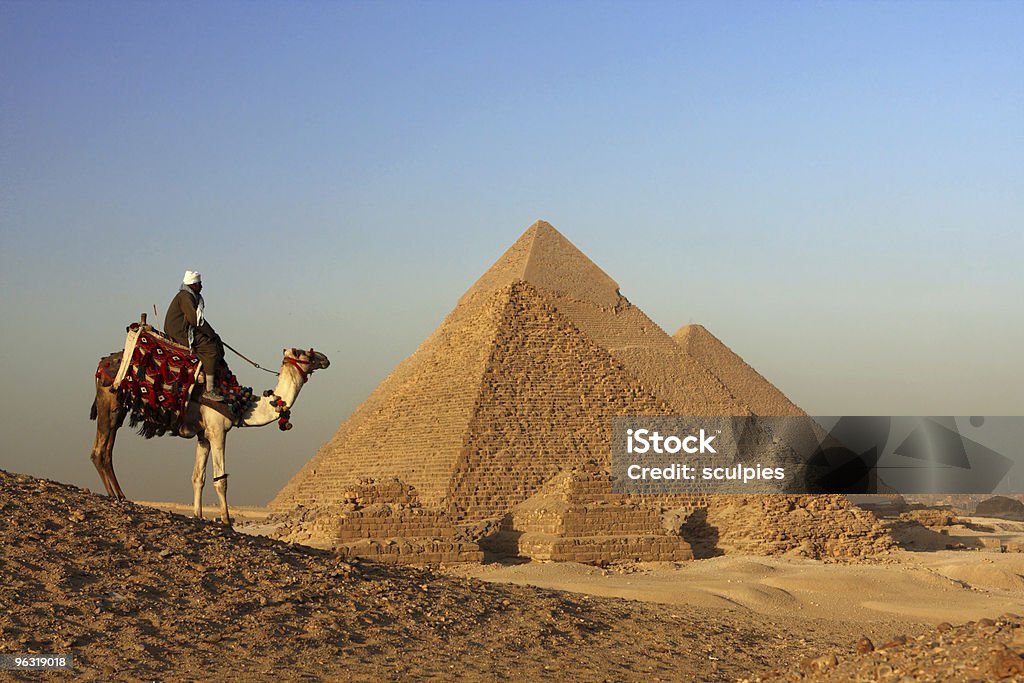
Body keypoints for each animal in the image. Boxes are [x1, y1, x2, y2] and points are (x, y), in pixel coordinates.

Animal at [89, 344, 327, 528]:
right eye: (305, 353)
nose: (325, 359)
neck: (241, 405)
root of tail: (102, 364)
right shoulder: (217, 431)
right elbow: (220, 480)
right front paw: (226, 521)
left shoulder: (203, 436)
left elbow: (198, 477)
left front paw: (198, 515)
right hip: (110, 401)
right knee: (99, 451)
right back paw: (116, 495)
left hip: (118, 406)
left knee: (105, 449)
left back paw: (118, 494)